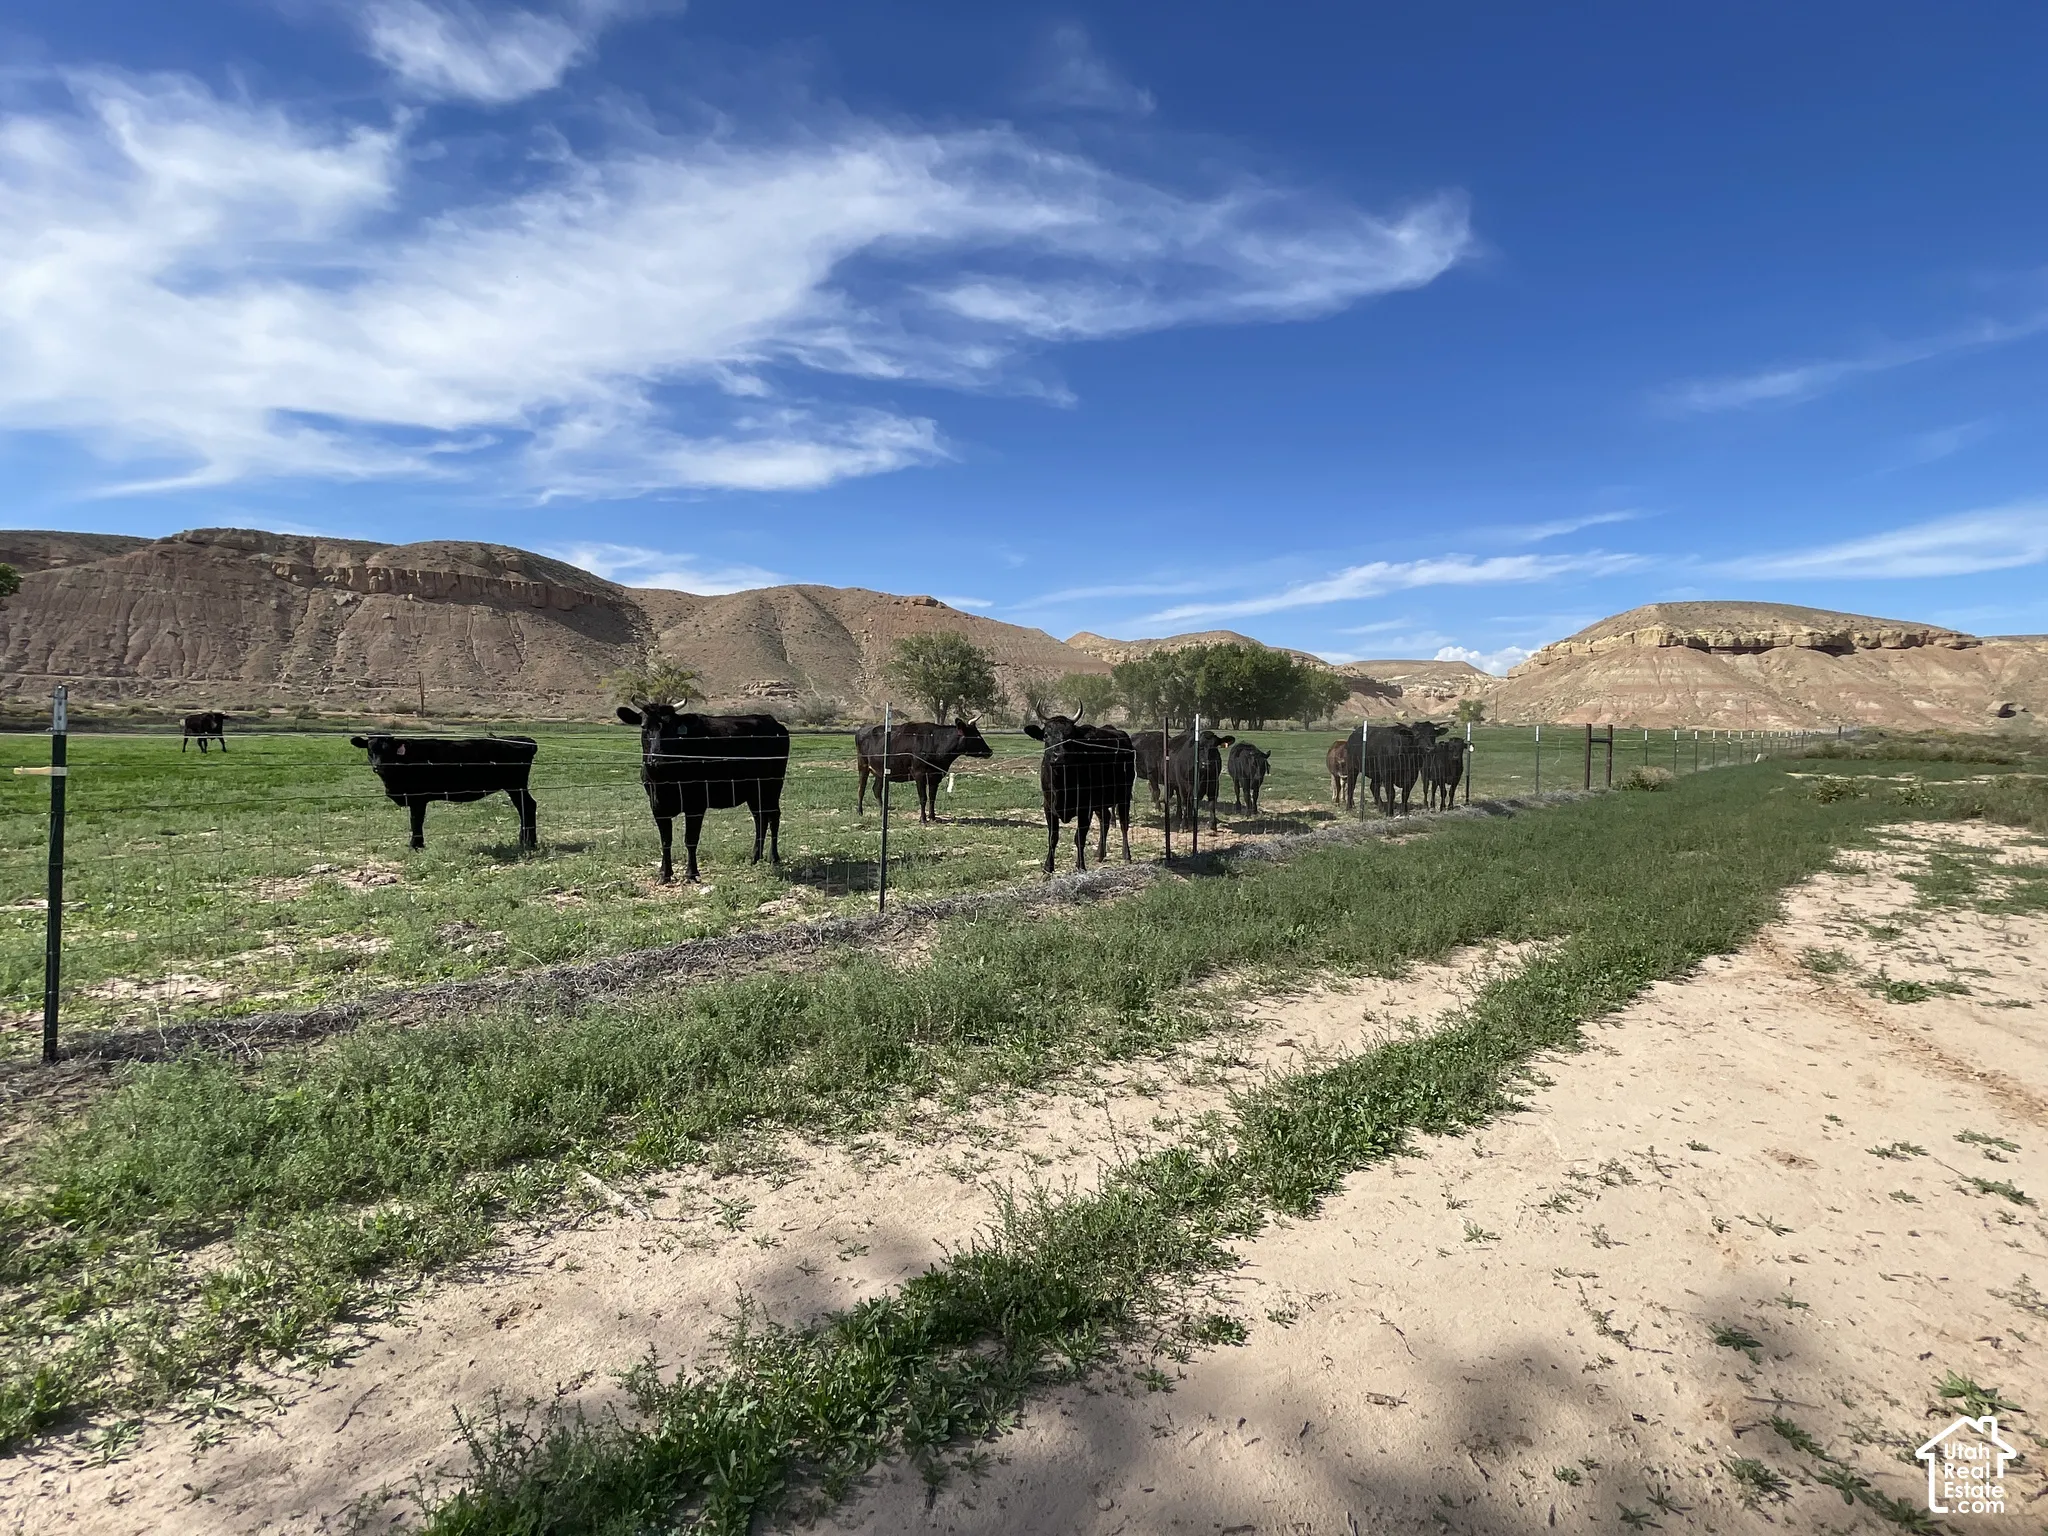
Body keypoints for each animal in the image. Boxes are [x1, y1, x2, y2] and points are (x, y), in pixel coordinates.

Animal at [350, 734, 538, 850]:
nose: (379, 766)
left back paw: (529, 842)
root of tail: (523, 740)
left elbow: (416, 820)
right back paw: (524, 840)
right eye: (370, 749)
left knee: (528, 806)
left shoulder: (418, 798)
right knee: (525, 807)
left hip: (516, 786)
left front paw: (415, 845)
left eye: (389, 750)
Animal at [617, 706, 790, 883]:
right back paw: (755, 857)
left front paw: (691, 874)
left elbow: (691, 840)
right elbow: (666, 840)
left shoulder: (696, 804)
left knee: (773, 816)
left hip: (772, 786)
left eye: (672, 728)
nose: (659, 759)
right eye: (644, 726)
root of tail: (773, 721)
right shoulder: (657, 806)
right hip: (754, 793)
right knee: (760, 818)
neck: (665, 782)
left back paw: (774, 857)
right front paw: (664, 874)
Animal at [855, 717, 992, 822]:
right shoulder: (919, 774)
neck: (935, 743)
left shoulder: (935, 776)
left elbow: (932, 797)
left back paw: (882, 812)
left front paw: (933, 817)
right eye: (977, 736)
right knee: (861, 789)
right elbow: (923, 797)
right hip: (863, 765)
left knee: (876, 789)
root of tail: (862, 729)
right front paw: (923, 819)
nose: (990, 751)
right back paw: (860, 812)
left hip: (880, 772)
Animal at [1023, 706, 1135, 873]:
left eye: (1070, 736)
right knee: (1105, 819)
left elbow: (1079, 838)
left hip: (1124, 794)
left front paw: (1081, 866)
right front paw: (1048, 867)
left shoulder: (1084, 809)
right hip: (1101, 801)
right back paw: (1099, 854)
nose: (1059, 756)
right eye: (1046, 735)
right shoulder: (1048, 807)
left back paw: (1126, 856)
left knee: (1123, 824)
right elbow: (1053, 837)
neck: (1062, 784)